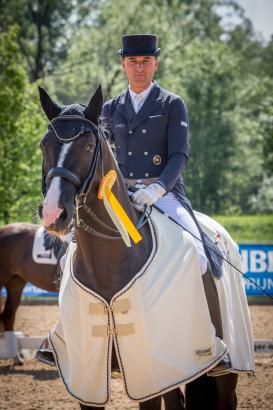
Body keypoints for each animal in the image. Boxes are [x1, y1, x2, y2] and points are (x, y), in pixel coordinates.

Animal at [37, 85, 252, 408]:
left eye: (88, 147)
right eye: (43, 145)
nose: (54, 213)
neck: (111, 261)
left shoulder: (148, 375)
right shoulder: (86, 382)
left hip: (222, 369)